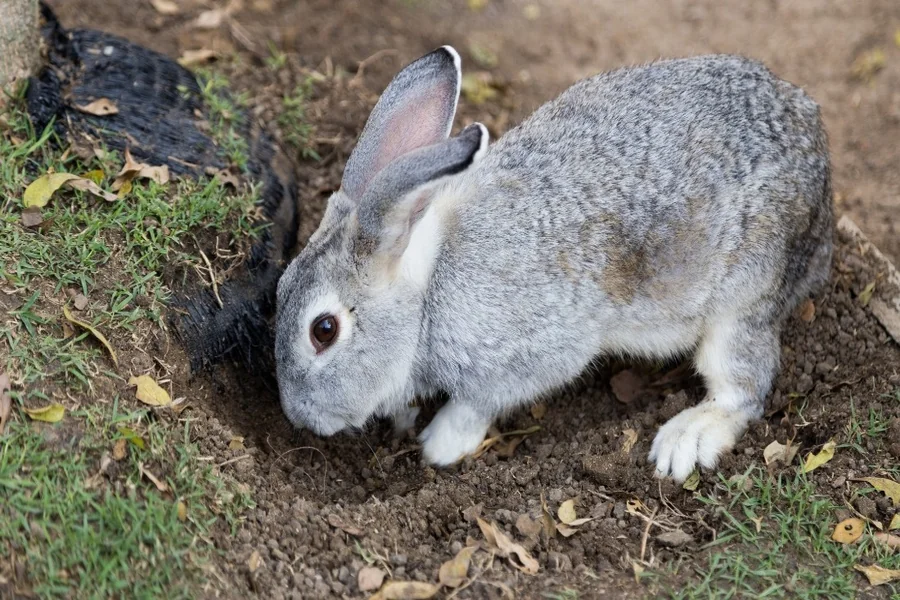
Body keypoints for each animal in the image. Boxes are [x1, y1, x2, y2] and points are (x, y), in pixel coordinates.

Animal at [275, 46, 832, 482]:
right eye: (278, 290)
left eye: (323, 330)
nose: (298, 416)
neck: (427, 293)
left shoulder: (532, 355)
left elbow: (477, 403)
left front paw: (439, 444)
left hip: (745, 296)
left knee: (744, 385)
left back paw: (685, 440)